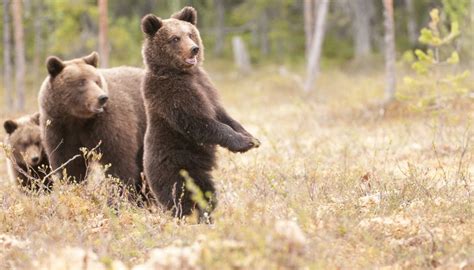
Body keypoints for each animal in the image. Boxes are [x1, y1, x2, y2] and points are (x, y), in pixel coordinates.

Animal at [38, 51, 146, 197]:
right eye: (81, 82)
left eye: (96, 81)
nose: (102, 98)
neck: (77, 118)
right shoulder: (59, 128)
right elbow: (70, 165)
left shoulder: (106, 125)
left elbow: (118, 162)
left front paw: (119, 194)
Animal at [141, 7, 262, 219]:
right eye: (175, 38)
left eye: (190, 34)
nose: (194, 49)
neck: (181, 73)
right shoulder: (171, 94)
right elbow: (199, 122)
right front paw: (242, 143)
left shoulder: (205, 86)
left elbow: (222, 114)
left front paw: (251, 138)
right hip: (178, 166)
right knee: (185, 195)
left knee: (206, 192)